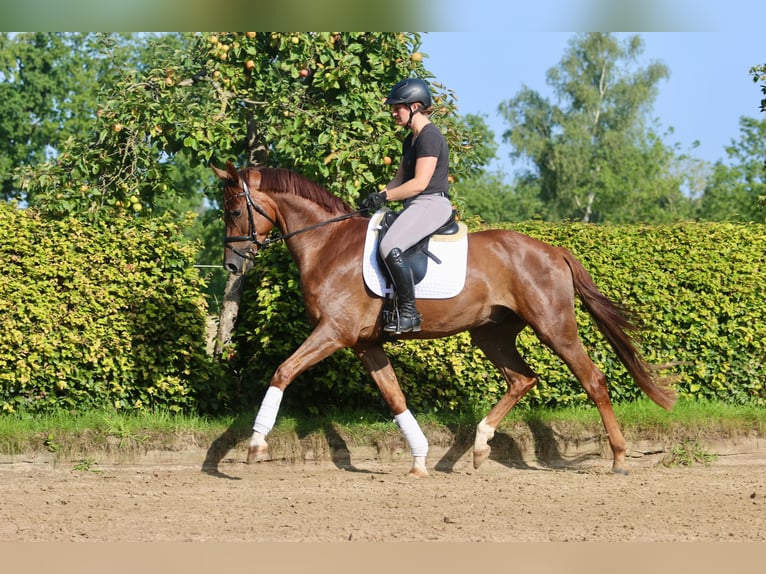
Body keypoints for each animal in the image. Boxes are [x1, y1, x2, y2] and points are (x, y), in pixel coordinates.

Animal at [213, 161, 676, 477]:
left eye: (234, 211)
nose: (233, 266)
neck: (327, 243)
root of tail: (553, 249)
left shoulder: (334, 332)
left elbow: (283, 371)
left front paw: (255, 445)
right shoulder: (366, 343)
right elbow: (395, 396)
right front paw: (419, 459)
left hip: (553, 328)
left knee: (593, 379)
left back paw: (619, 458)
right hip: (491, 334)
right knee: (522, 379)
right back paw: (481, 445)